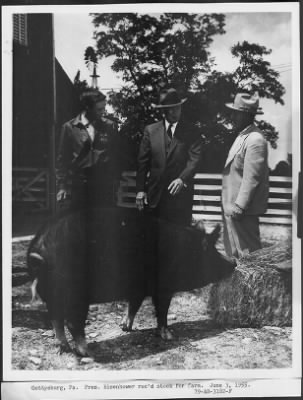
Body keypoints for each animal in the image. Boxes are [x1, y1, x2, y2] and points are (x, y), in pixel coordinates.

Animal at [27, 208, 236, 354]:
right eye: (212, 252)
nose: (233, 262)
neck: (184, 251)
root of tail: (39, 251)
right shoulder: (164, 287)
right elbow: (162, 311)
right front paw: (168, 336)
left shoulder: (138, 289)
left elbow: (133, 306)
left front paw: (125, 327)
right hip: (74, 293)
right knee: (71, 322)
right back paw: (87, 352)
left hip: (53, 296)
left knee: (55, 319)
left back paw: (64, 348)